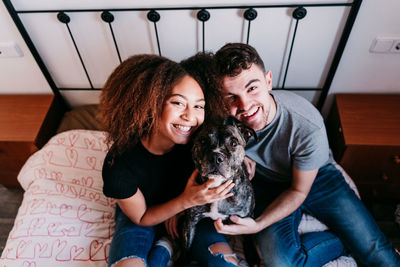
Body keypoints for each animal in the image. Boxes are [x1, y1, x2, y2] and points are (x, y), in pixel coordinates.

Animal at [182, 117, 256, 251]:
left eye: (234, 143)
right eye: (203, 141)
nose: (216, 157)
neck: (216, 185)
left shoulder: (246, 222)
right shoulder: (190, 222)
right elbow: (186, 249)